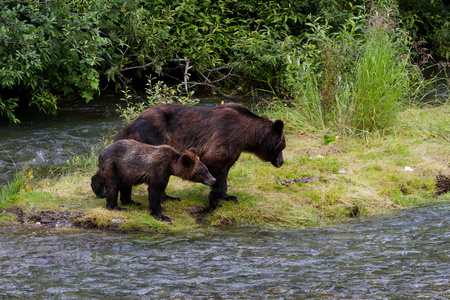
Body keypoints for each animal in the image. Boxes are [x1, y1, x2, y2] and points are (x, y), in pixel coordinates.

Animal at [116, 103, 284, 209]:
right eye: (282, 146)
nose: (281, 162)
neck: (247, 134)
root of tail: (127, 127)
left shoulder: (235, 149)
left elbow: (226, 168)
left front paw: (227, 196)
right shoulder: (226, 136)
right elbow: (216, 164)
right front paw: (218, 199)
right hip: (153, 136)